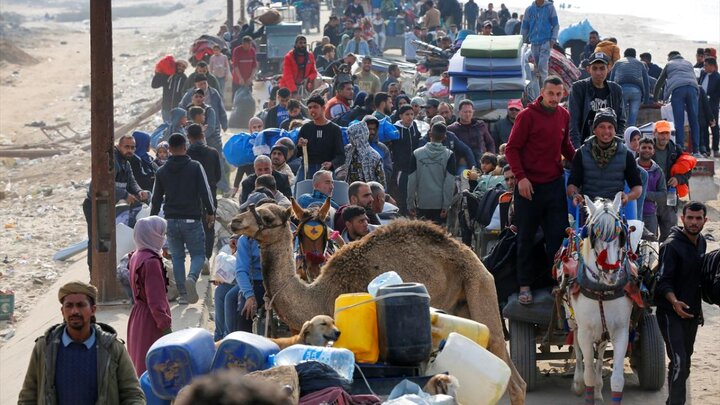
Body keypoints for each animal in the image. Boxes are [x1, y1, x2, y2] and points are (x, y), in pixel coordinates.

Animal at [231, 200, 528, 402]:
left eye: (266, 216)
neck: (320, 293)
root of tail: (470, 253)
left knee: (513, 377)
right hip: (463, 306)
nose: (235, 221)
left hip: (481, 290)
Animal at [564, 193, 632, 404]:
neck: (602, 289)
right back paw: (577, 381)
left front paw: (601, 389)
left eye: (621, 235)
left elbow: (617, 380)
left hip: (603, 330)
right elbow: (588, 376)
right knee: (577, 348)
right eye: (594, 235)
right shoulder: (585, 332)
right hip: (573, 322)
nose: (611, 273)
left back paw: (599, 389)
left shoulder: (621, 331)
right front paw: (584, 385)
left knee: (600, 352)